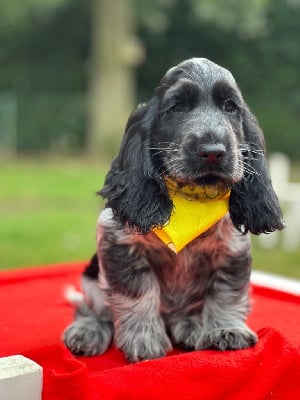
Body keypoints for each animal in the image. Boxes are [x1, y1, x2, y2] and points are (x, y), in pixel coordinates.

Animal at [63, 57, 284, 362]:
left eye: (230, 107)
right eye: (177, 107)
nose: (213, 151)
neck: (193, 199)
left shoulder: (232, 251)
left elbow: (226, 292)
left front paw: (226, 329)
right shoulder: (117, 242)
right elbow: (139, 291)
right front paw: (144, 340)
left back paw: (190, 326)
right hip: (91, 279)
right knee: (93, 310)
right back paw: (88, 331)